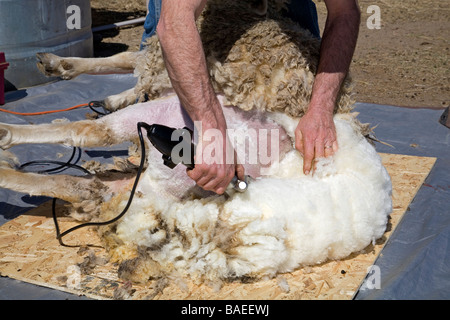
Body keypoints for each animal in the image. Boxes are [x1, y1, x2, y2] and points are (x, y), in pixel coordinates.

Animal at [0, 0, 390, 284]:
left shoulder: (164, 62)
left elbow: (128, 60)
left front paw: (67, 68)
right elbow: (129, 60)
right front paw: (78, 74)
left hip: (166, 113)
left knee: (88, 131)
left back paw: (9, 135)